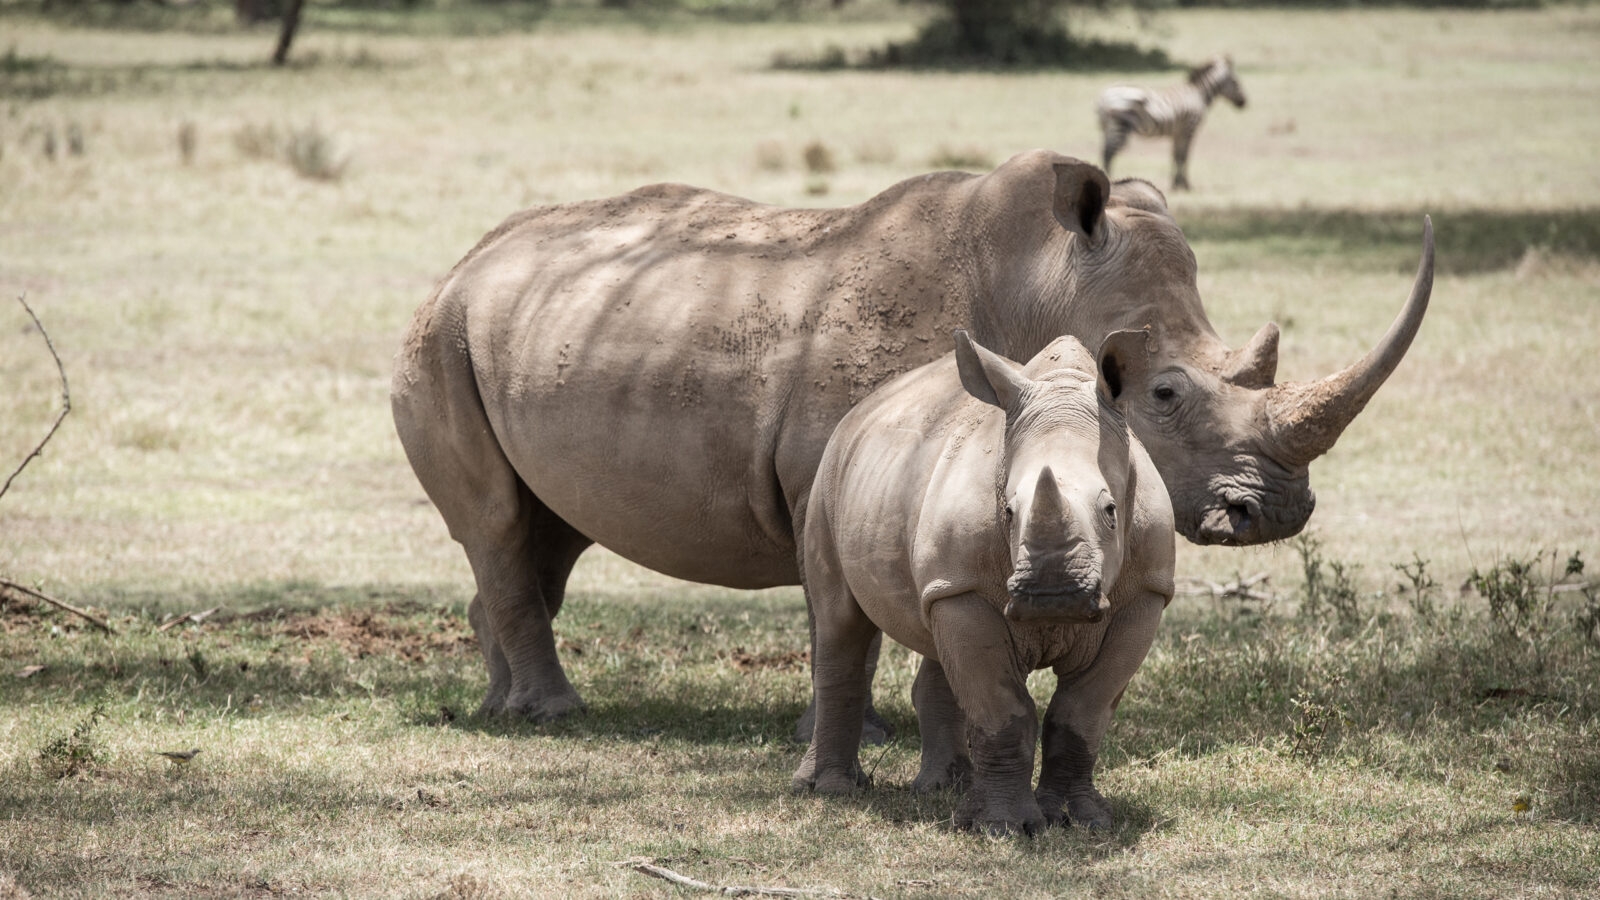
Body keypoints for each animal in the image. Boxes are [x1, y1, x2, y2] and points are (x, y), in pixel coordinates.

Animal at [390, 149, 1433, 722]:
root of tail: (465, 260)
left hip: (521, 332)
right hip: (438, 336)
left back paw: (506, 706)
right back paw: (552, 714)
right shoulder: (826, 470)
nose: (1280, 512)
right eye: (1167, 393)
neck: (1044, 284)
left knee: (546, 536)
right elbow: (836, 604)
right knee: (497, 524)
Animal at [792, 331, 1173, 835]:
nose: (1053, 597)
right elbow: (1002, 711)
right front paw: (1007, 827)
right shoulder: (965, 589)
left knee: (934, 634)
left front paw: (1083, 820)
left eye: (1111, 511)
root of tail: (860, 409)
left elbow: (1082, 713)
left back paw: (944, 789)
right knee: (841, 622)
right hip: (828, 476)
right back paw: (831, 790)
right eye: (1008, 512)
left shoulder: (1145, 594)